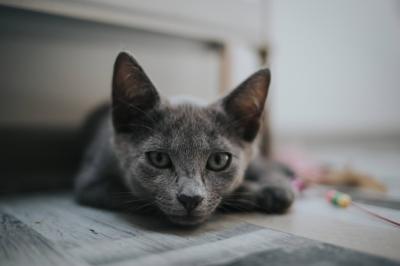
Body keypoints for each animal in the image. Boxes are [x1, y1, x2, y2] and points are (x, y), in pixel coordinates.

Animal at [75, 51, 294, 224]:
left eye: (218, 160)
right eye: (158, 158)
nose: (191, 198)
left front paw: (274, 190)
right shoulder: (90, 184)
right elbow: (134, 198)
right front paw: (258, 192)